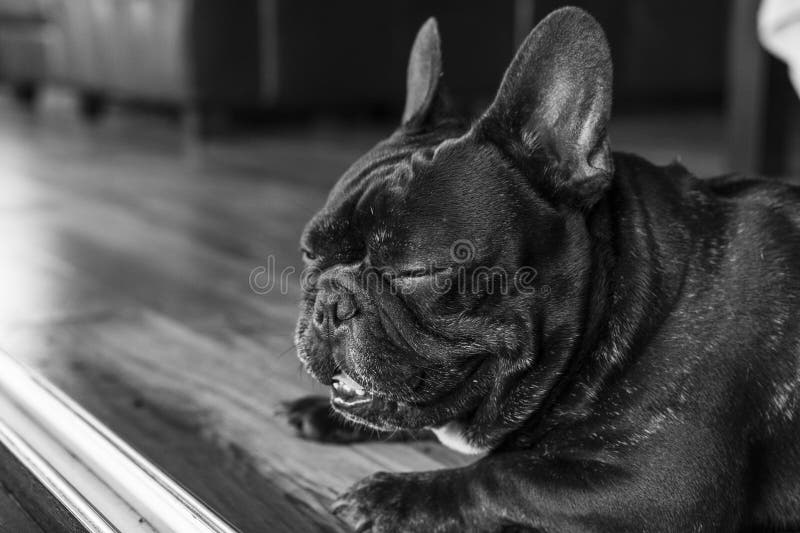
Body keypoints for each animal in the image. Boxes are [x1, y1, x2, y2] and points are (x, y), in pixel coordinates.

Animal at [286, 6, 800, 528]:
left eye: (416, 271)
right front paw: (325, 413)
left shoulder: (664, 489)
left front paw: (393, 496)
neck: (632, 301)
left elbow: (503, 474)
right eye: (310, 254)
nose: (329, 304)